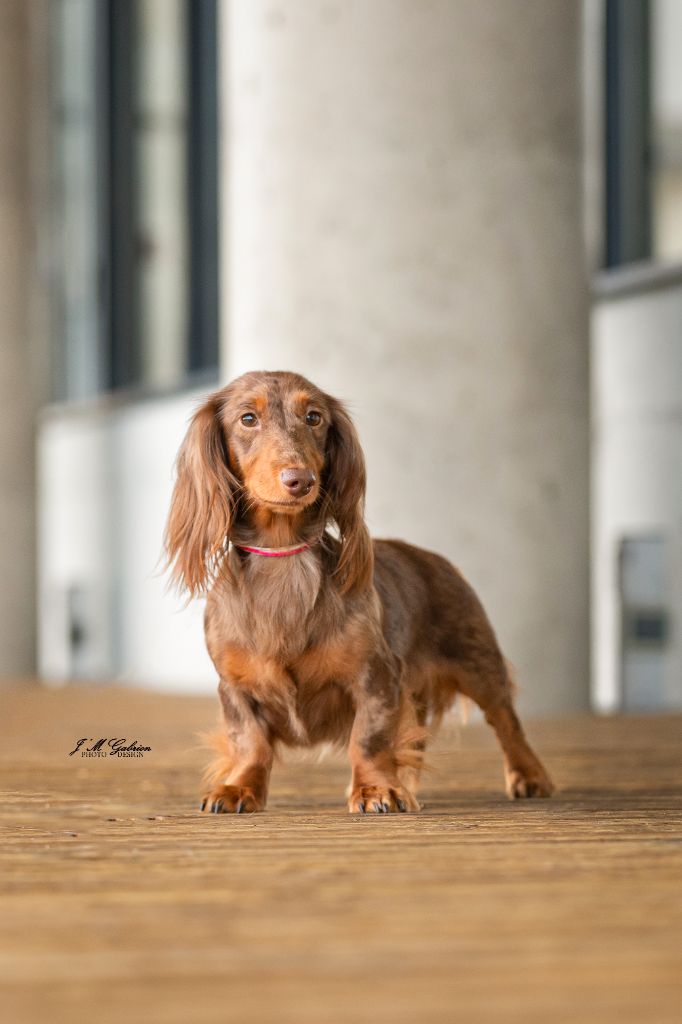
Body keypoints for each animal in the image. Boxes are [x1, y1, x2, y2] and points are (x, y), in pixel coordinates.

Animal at [164, 372, 552, 811]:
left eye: (314, 417)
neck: (282, 556)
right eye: (248, 418)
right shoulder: (235, 687)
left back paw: (528, 775)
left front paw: (375, 788)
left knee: (506, 721)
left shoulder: (375, 676)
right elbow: (250, 742)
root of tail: (435, 559)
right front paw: (239, 787)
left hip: (479, 663)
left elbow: (368, 739)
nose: (300, 481)